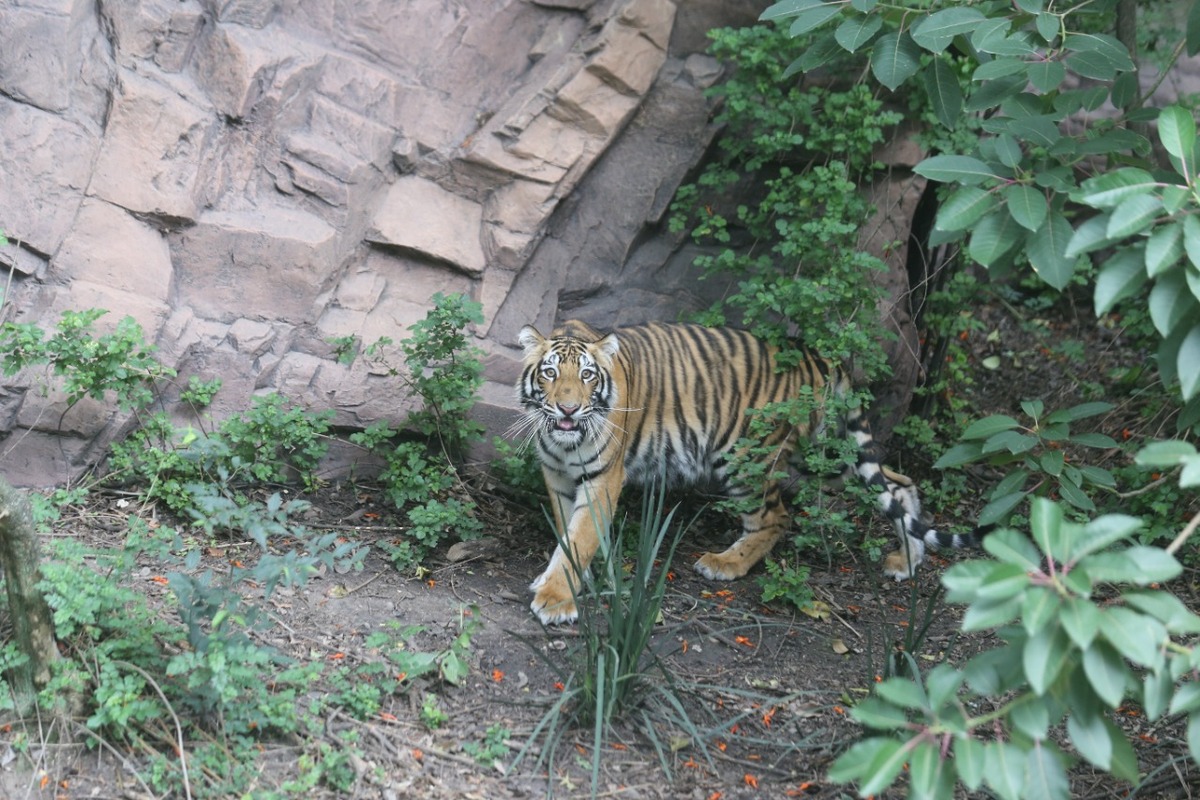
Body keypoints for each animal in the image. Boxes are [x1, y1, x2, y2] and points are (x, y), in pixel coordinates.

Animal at [513, 320, 977, 625]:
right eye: (550, 372)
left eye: (587, 376)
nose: (568, 409)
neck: (563, 441)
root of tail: (815, 353)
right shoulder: (557, 476)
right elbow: (567, 532)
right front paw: (571, 580)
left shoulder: (604, 480)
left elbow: (580, 537)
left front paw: (555, 600)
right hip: (825, 458)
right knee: (897, 483)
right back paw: (907, 560)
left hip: (745, 458)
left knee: (776, 519)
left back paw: (723, 564)